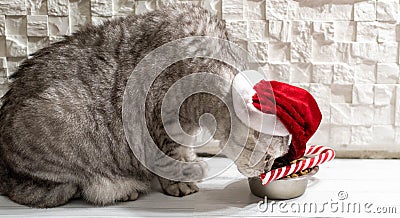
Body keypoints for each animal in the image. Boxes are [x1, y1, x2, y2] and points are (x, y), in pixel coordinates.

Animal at [0, 3, 290, 208]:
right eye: (267, 157)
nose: (265, 172)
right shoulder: (160, 116)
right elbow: (168, 155)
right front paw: (180, 180)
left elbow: (184, 148)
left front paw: (189, 161)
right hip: (62, 117)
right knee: (68, 186)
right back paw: (119, 187)